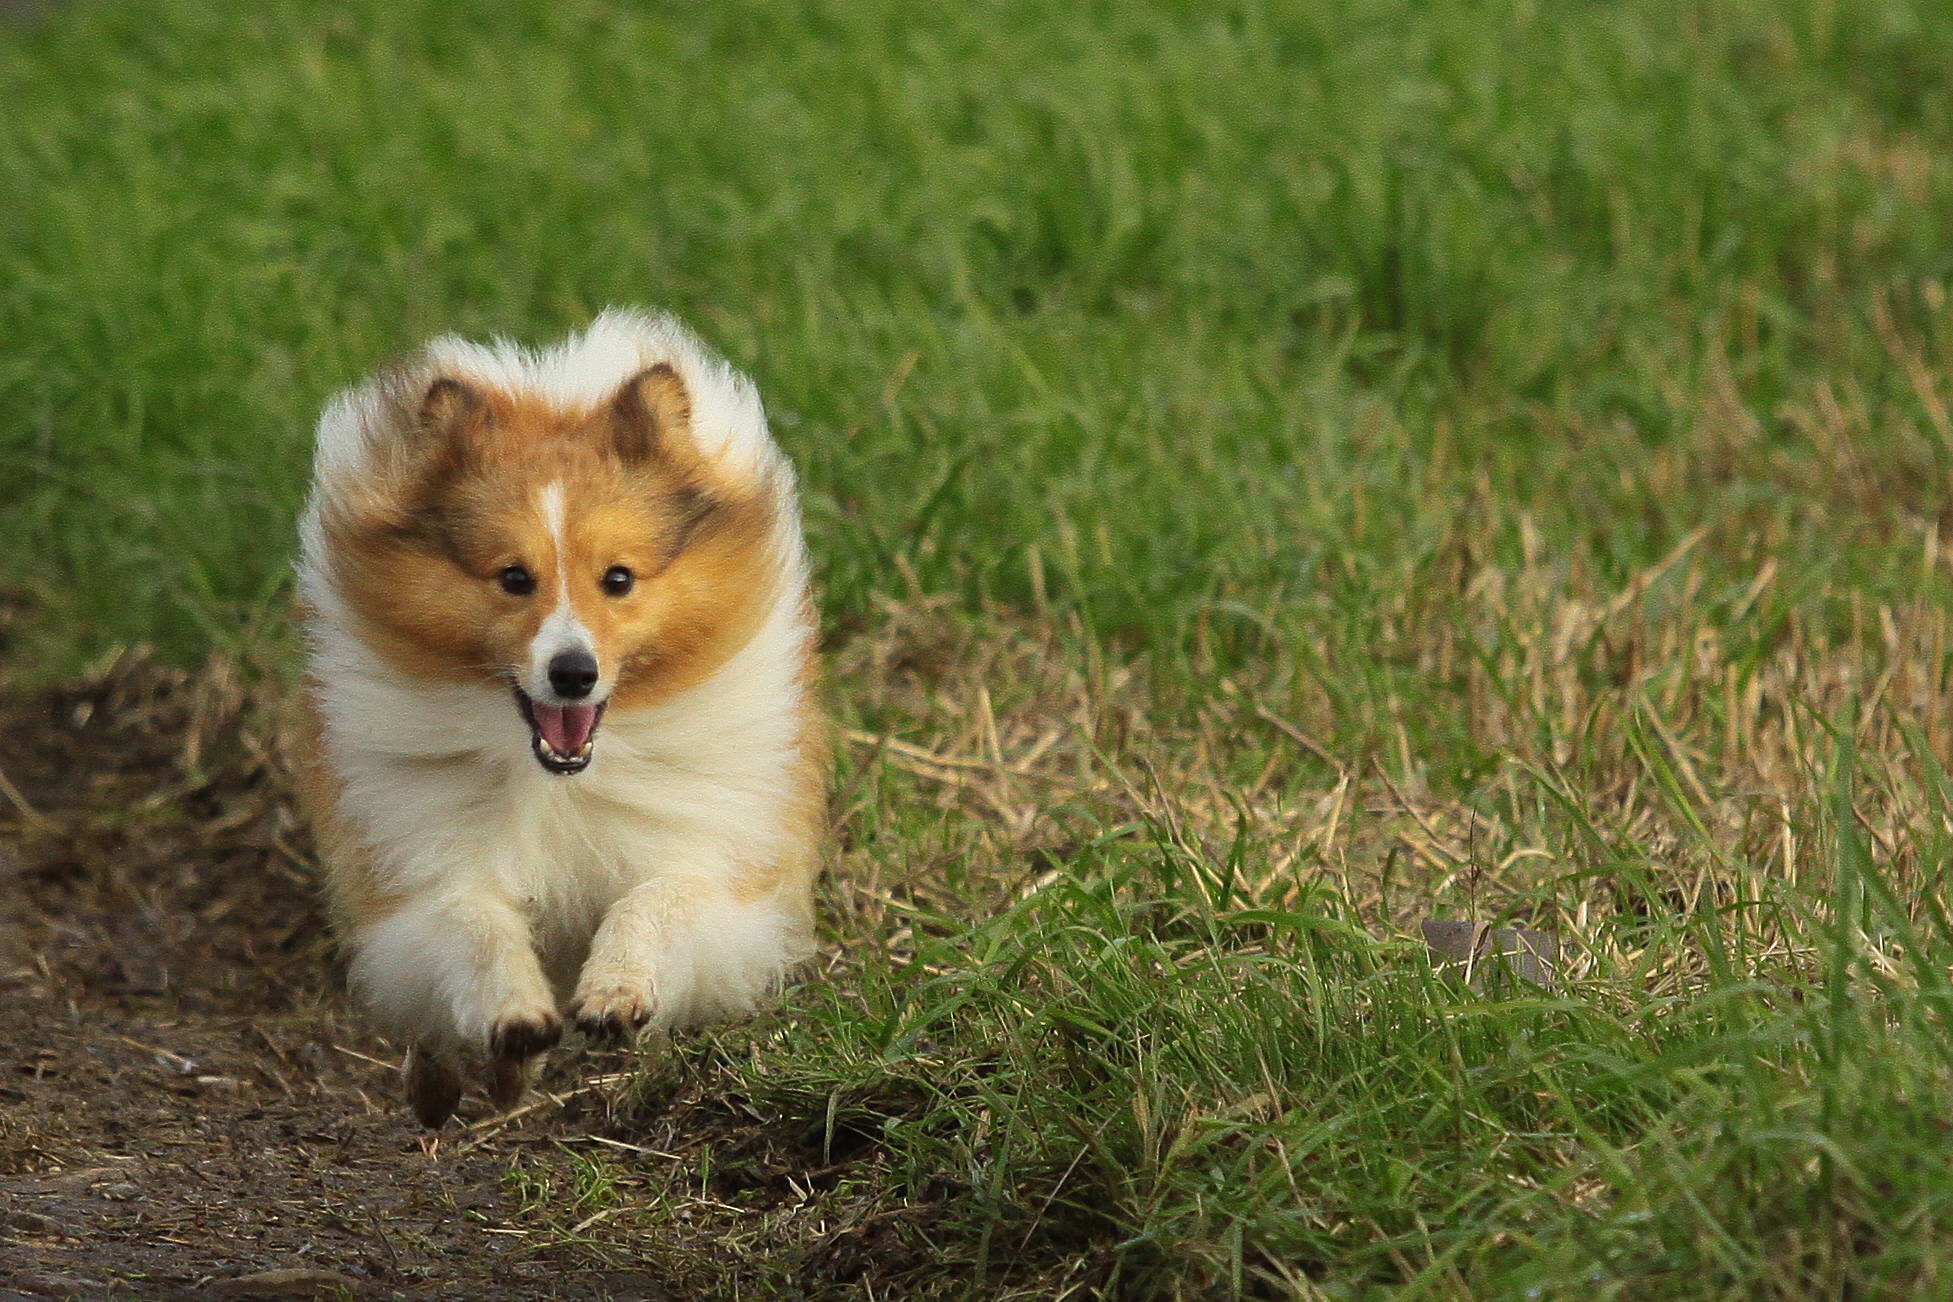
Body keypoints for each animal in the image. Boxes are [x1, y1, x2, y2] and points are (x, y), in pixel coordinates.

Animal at [292, 310, 828, 1124]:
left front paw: (617, 992)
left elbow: (656, 900)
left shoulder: (715, 864)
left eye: (618, 579)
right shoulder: (424, 863)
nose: (573, 673)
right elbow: (474, 923)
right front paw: (513, 1016)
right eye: (514, 578)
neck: (563, 779)